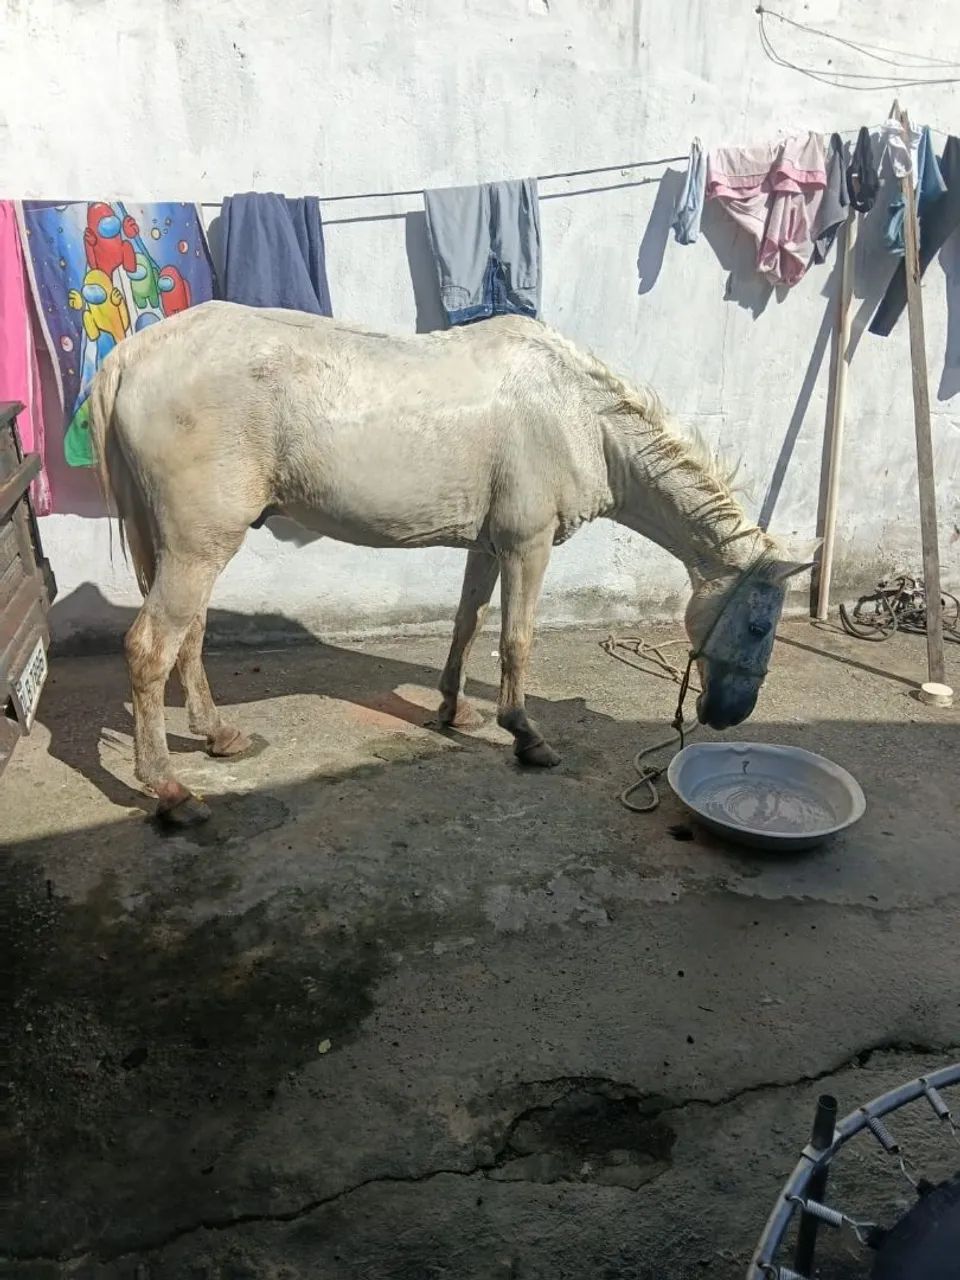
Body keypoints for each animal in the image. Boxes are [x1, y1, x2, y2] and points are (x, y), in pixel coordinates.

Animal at [90, 301, 813, 826]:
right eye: (758, 625)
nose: (730, 715)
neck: (575, 412)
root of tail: (131, 355)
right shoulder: (527, 544)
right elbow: (516, 641)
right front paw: (526, 736)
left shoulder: (487, 546)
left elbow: (470, 623)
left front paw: (453, 712)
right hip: (199, 545)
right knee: (151, 649)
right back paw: (171, 793)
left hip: (183, 547)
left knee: (188, 640)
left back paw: (219, 736)